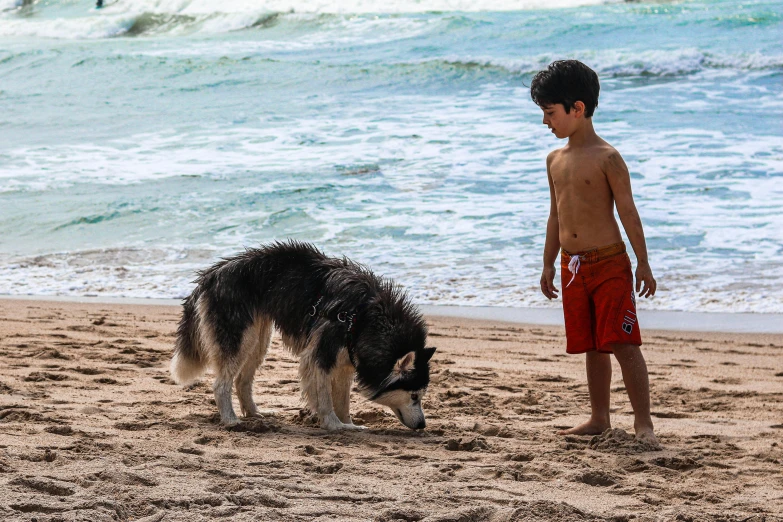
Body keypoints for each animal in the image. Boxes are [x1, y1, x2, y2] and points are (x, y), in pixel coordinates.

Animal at [170, 240, 434, 426]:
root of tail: (212, 274)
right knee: (221, 384)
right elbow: (325, 399)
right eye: (414, 396)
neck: (365, 315)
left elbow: (342, 400)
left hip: (258, 339)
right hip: (239, 337)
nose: (422, 425)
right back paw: (230, 420)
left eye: (421, 395)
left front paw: (349, 424)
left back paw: (254, 414)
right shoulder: (320, 355)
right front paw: (334, 425)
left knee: (242, 380)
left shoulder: (346, 360)